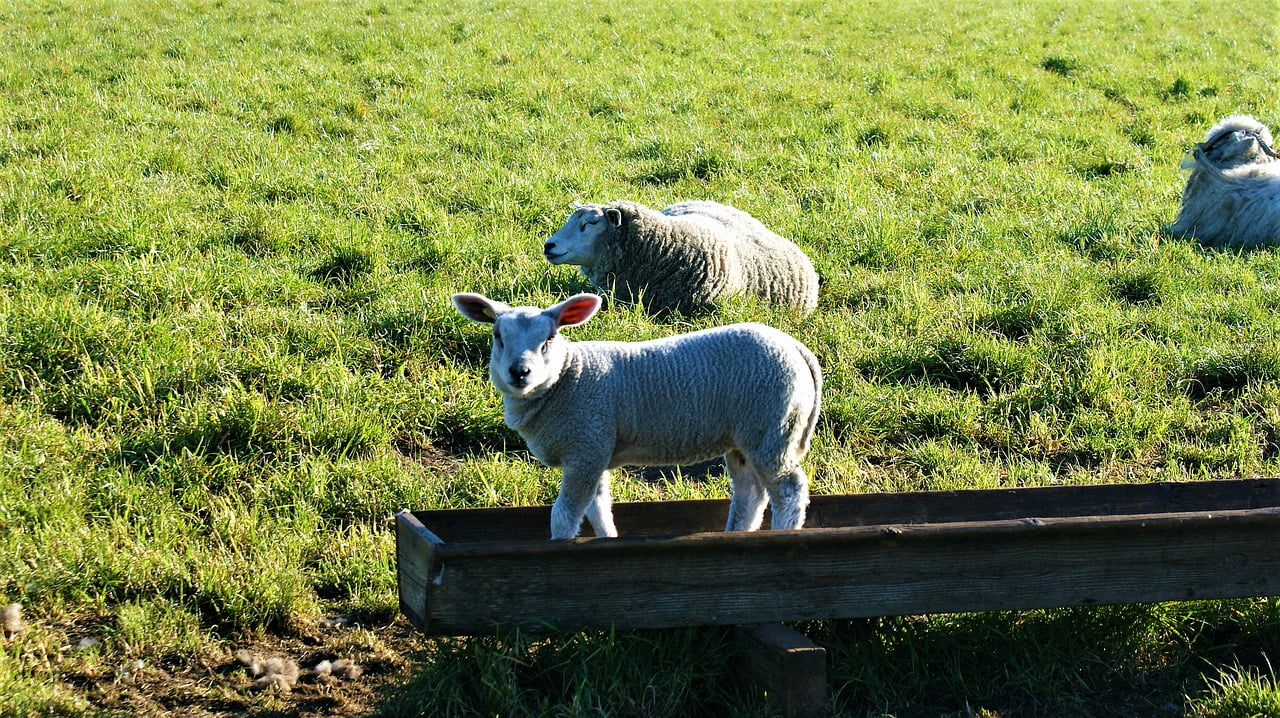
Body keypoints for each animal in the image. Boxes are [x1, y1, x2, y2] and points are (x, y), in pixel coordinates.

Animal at [452, 291, 822, 539]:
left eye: (550, 338)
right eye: (497, 336)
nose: (520, 372)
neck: (567, 378)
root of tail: (797, 348)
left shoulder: (585, 447)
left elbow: (564, 515)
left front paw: (559, 546)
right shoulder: (594, 449)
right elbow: (599, 510)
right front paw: (608, 540)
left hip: (772, 428)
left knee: (789, 491)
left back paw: (784, 533)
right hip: (745, 437)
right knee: (750, 494)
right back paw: (738, 533)